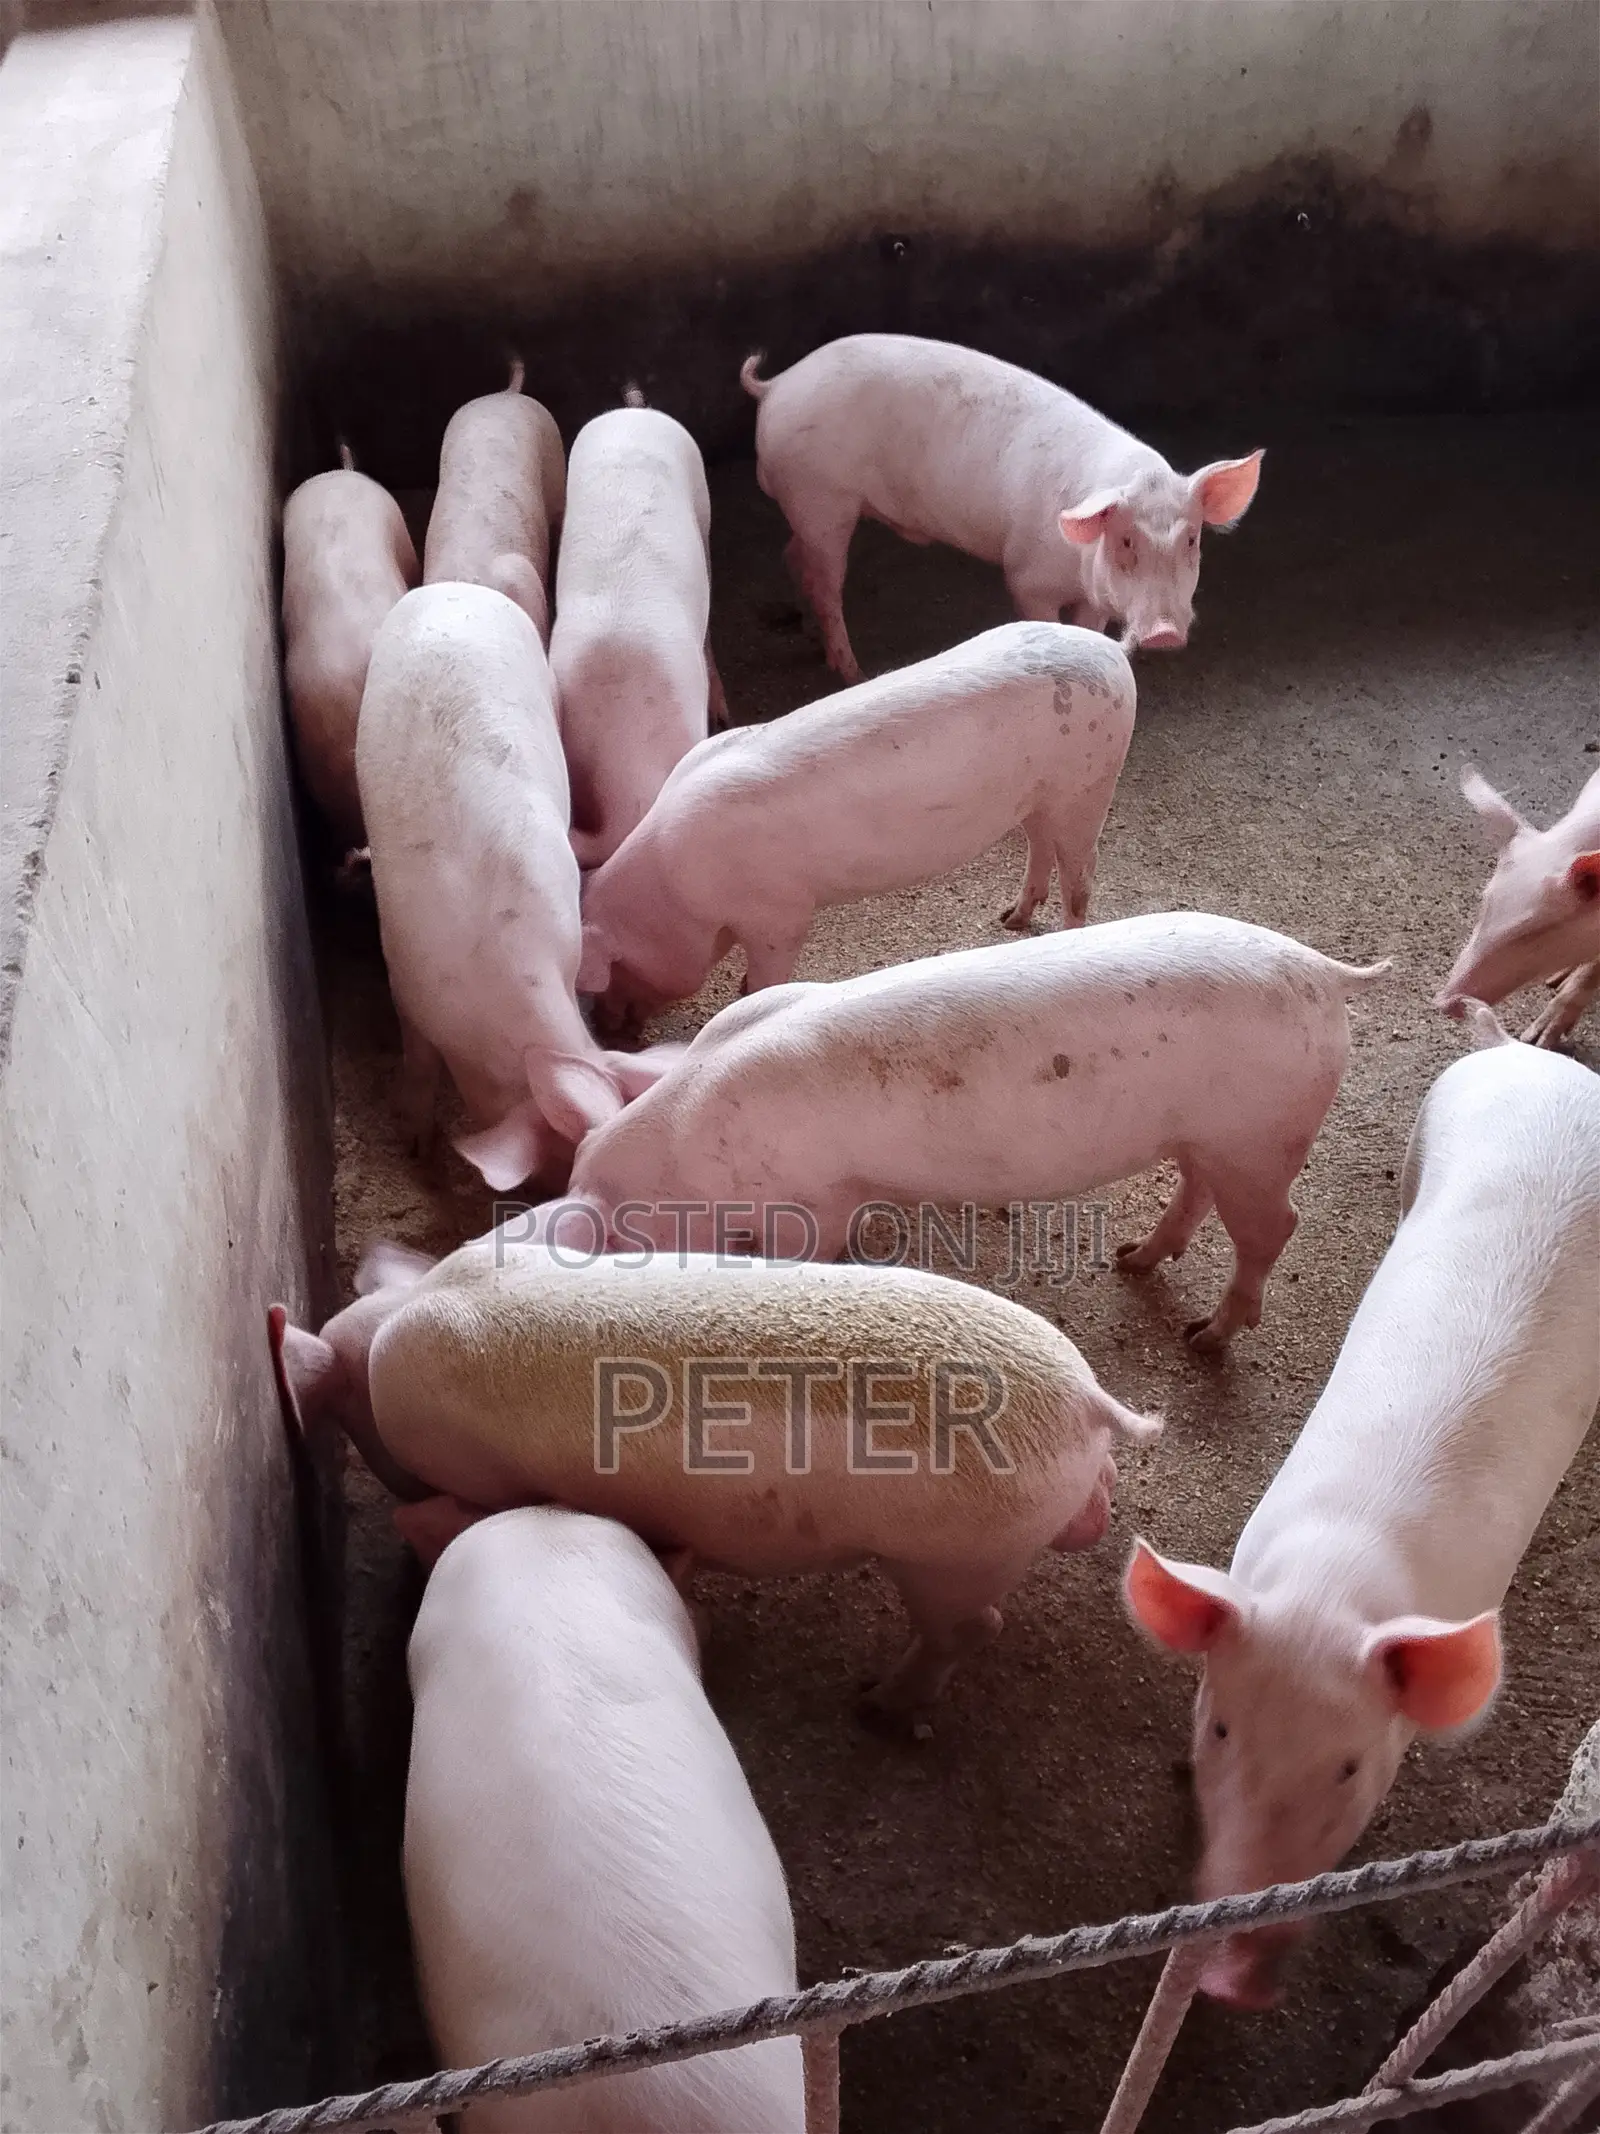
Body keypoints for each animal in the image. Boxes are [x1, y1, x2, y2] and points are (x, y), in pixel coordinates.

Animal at [561, 912, 1388, 1351]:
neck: (686, 1142)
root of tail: (1322, 971)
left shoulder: (813, 1198)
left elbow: (810, 1248)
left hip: (1264, 1134)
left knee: (1276, 1225)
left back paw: (1205, 1338)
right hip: (1210, 1135)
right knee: (1197, 1190)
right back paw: (1131, 1260)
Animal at [578, 622, 1136, 1020]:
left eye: (618, 967)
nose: (609, 1029)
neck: (682, 886)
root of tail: (1113, 649)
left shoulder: (781, 916)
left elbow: (769, 975)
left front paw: (746, 995)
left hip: (1091, 782)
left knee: (1081, 874)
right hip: (1041, 797)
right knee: (1041, 845)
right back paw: (1010, 920)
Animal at [741, 334, 1263, 682]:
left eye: (1191, 539)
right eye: (1126, 540)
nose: (1164, 634)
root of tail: (776, 385)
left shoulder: (1092, 597)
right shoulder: (1026, 576)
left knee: (796, 558)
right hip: (823, 496)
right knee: (827, 583)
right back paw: (853, 672)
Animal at [1123, 1015, 1600, 2007]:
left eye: (1350, 1768)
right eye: (1220, 1728)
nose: (1228, 1975)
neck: (1331, 1583)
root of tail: (1533, 1059)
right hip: (1429, 1133)